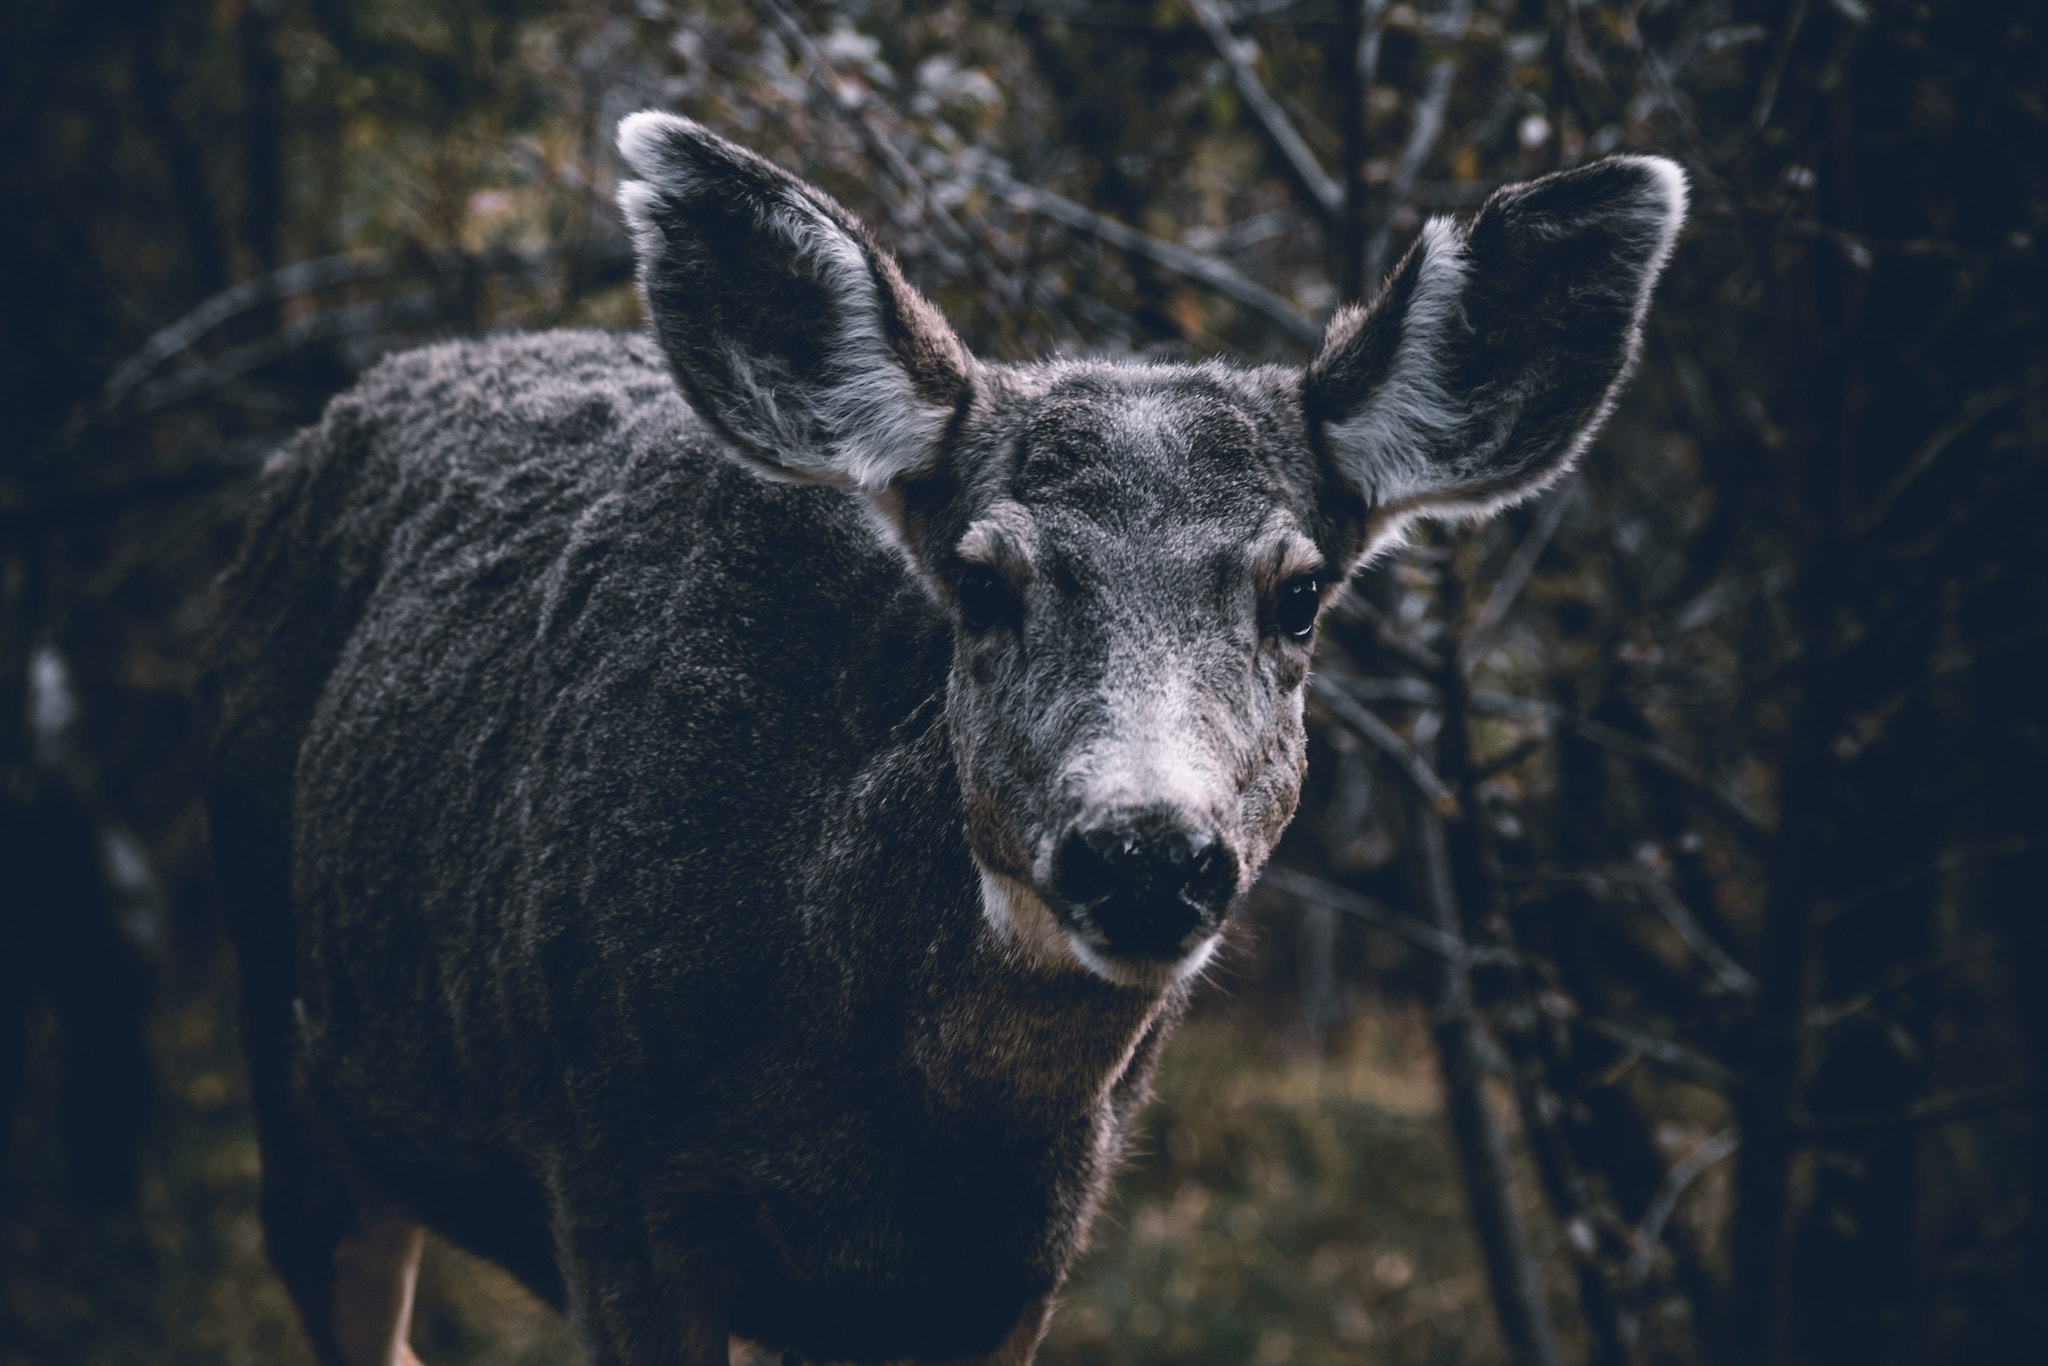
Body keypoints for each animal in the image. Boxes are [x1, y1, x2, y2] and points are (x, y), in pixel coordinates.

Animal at [199, 109, 1687, 1366]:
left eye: (1301, 590)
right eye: (982, 581)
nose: (1146, 851)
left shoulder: (1015, 1261)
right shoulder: (608, 1174)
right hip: (291, 1049)